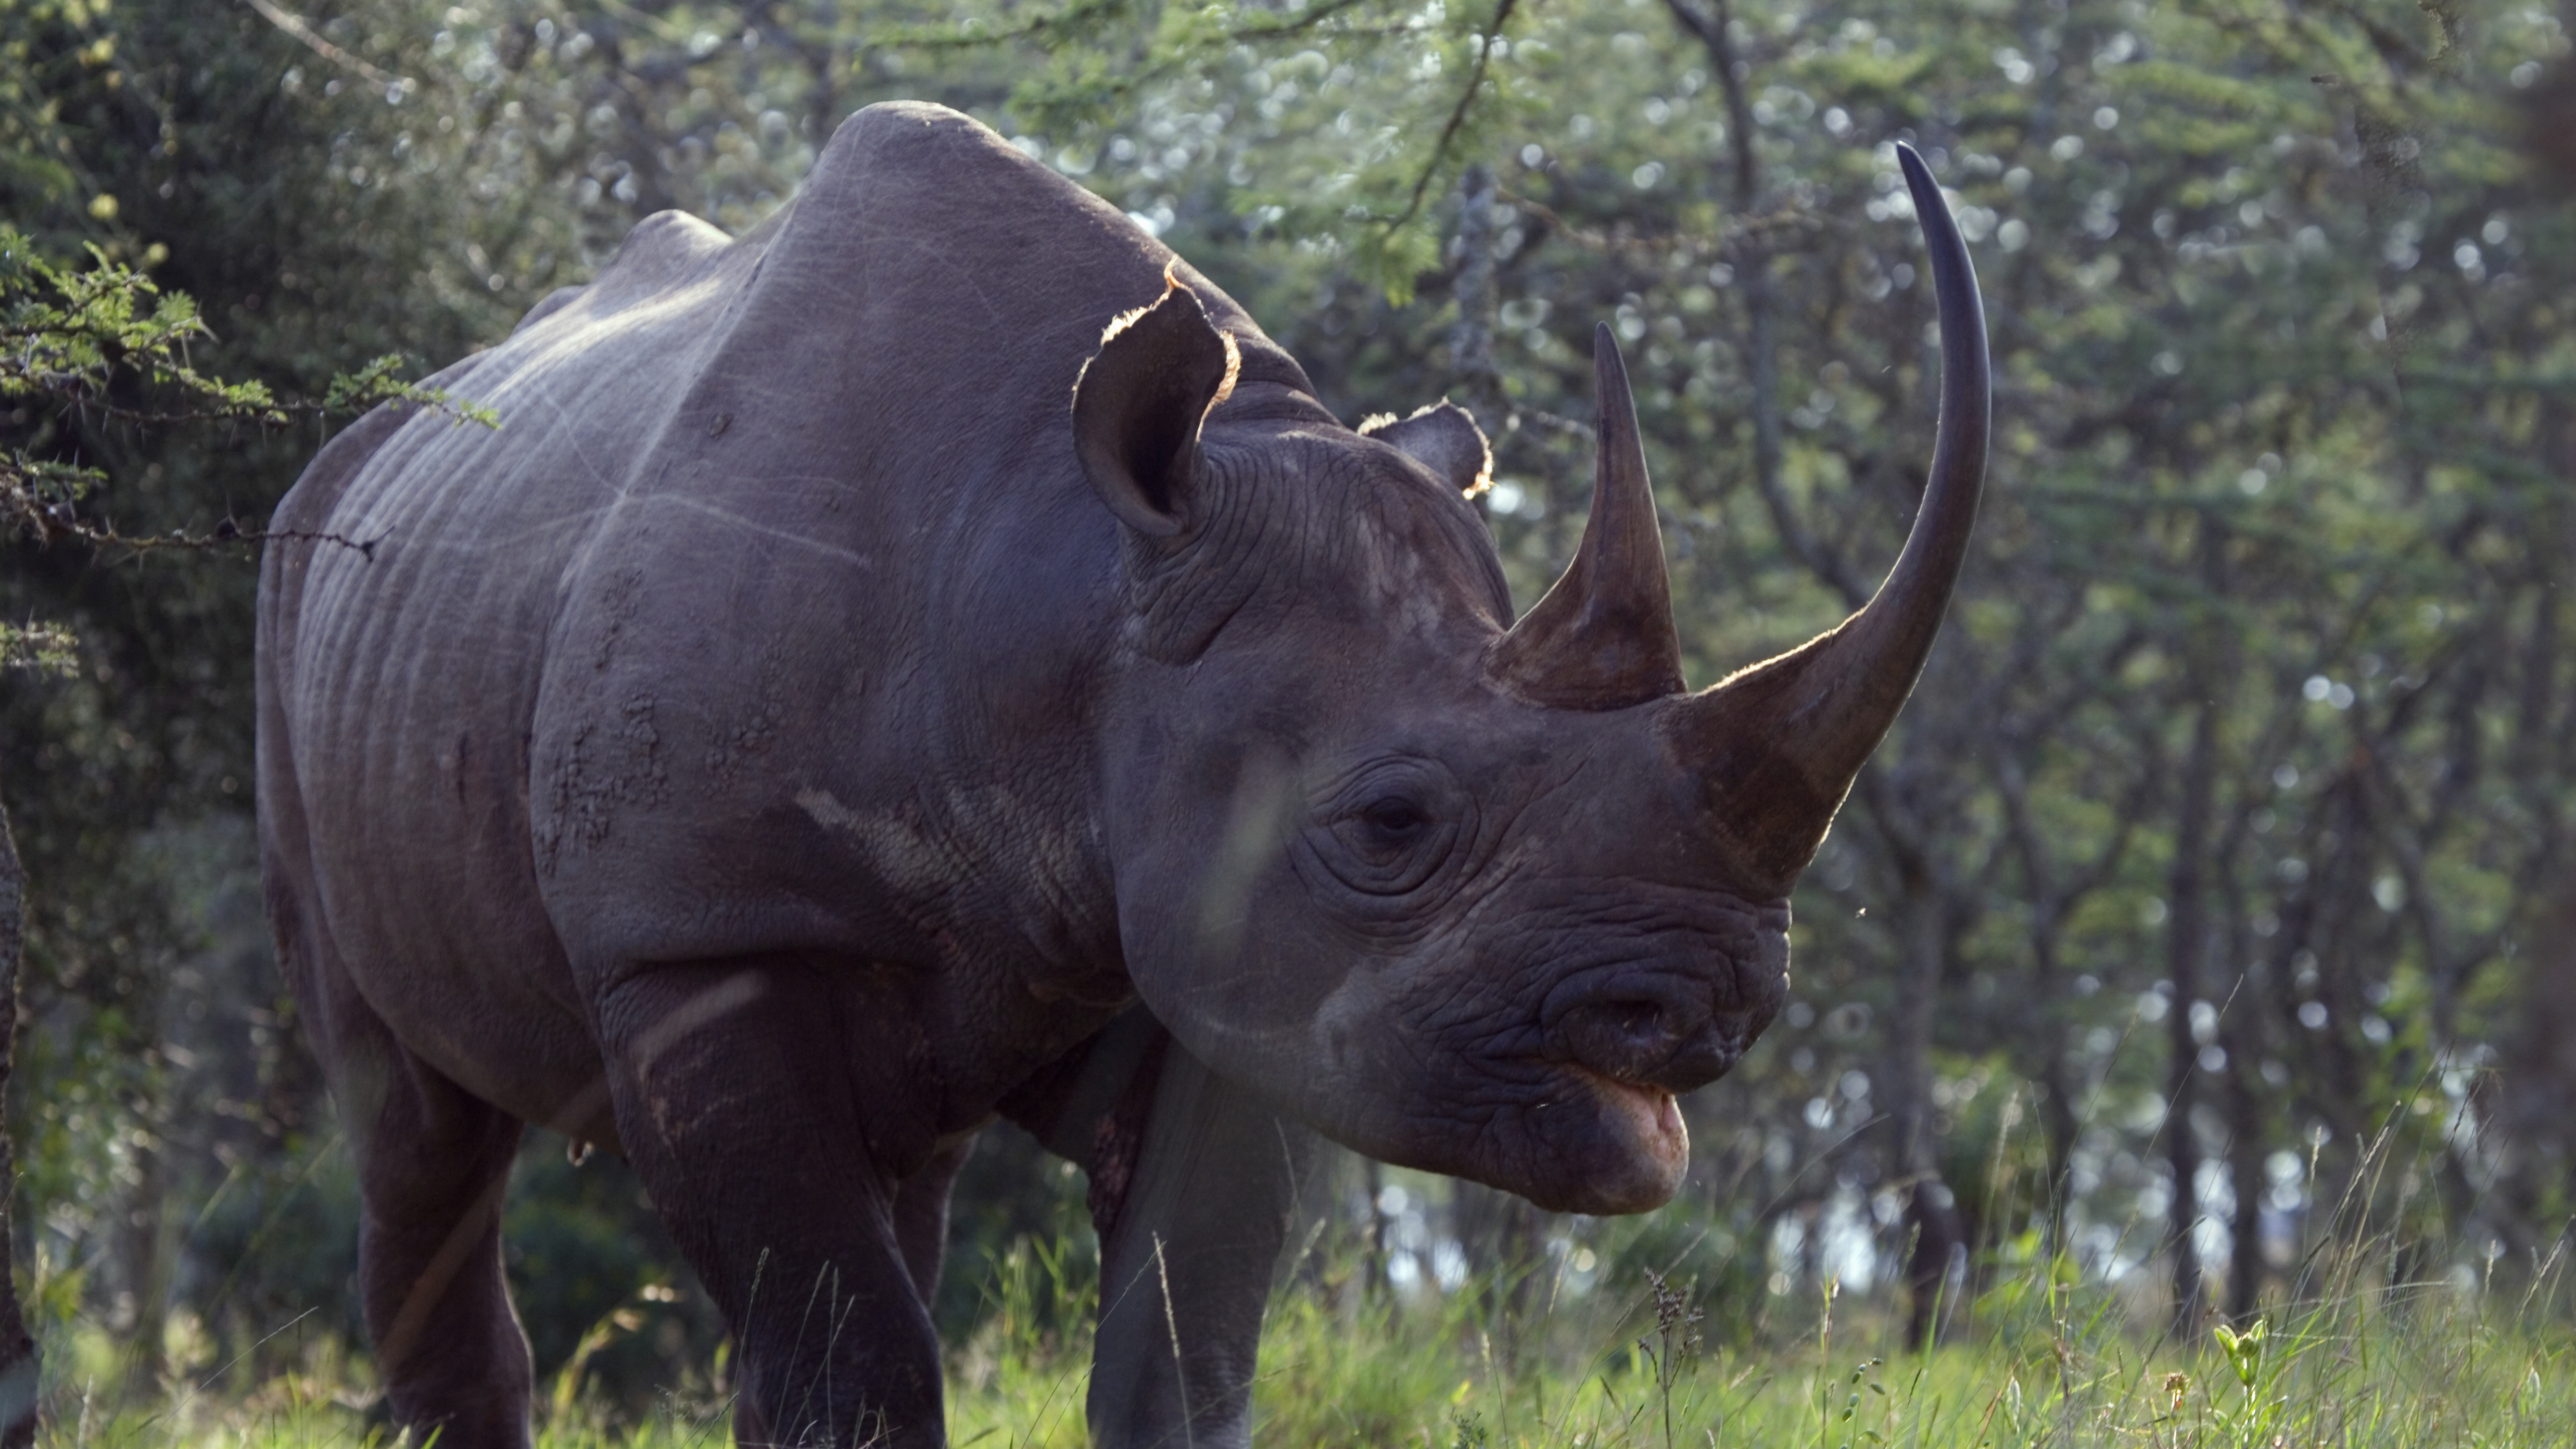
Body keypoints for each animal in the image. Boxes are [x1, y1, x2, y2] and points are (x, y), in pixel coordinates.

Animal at [256, 101, 1987, 1447]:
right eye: (1390, 822)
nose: (1699, 1013)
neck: (1071, 577)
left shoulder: (1222, 967)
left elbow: (1178, 1347)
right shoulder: (698, 933)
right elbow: (855, 1357)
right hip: (300, 596)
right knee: (416, 1133)